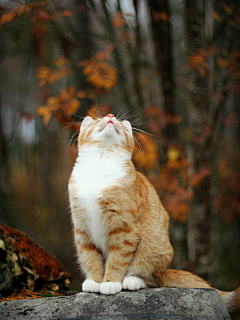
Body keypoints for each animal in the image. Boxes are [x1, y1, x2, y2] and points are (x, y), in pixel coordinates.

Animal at [68, 114, 239, 312]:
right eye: (98, 120)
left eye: (120, 122)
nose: (111, 116)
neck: (100, 166)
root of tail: (164, 271)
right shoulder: (83, 229)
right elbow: (90, 258)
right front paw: (95, 281)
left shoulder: (124, 230)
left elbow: (117, 259)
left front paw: (110, 282)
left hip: (152, 251)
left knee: (151, 279)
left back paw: (132, 281)